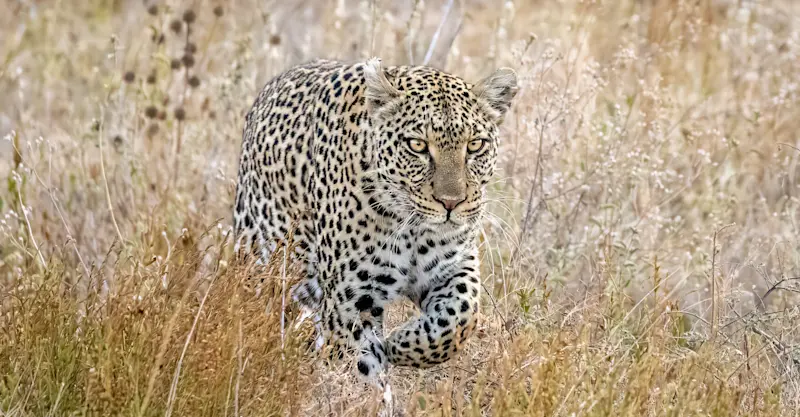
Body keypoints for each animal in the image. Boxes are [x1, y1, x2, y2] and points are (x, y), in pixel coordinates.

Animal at [232, 57, 518, 392]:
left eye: (474, 145)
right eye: (417, 145)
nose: (451, 203)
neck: (412, 227)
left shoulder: (452, 267)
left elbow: (461, 315)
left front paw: (400, 343)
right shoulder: (352, 300)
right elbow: (356, 366)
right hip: (263, 260)